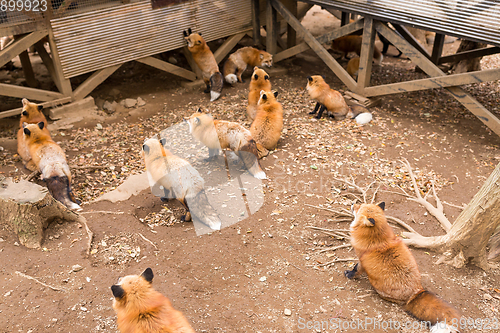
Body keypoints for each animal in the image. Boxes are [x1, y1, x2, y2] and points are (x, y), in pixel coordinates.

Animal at [348, 202, 460, 332]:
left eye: (359, 208)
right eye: (361, 204)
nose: (352, 203)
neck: (377, 238)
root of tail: (415, 293)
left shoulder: (361, 259)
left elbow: (356, 270)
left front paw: (349, 274)